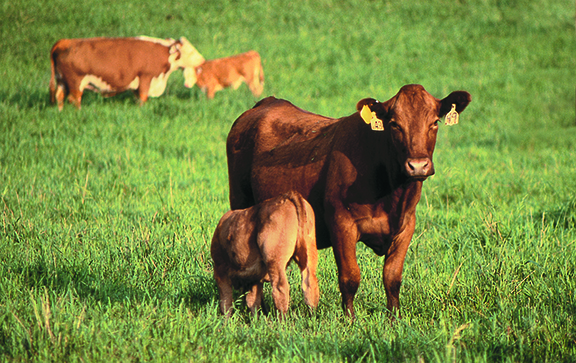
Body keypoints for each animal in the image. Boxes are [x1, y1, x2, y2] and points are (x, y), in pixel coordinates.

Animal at [226, 85, 472, 318]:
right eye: (394, 124)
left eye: (435, 122)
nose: (418, 165)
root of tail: (267, 103)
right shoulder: (341, 223)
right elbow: (350, 277)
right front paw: (350, 320)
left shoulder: (406, 226)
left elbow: (392, 278)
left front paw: (395, 318)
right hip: (240, 202)